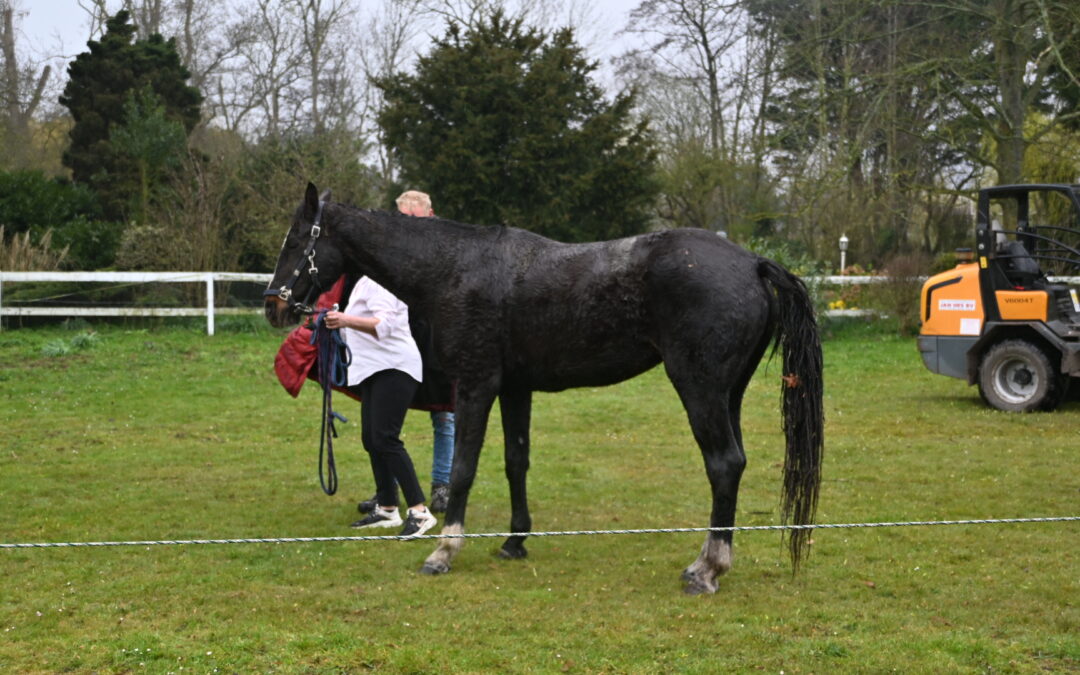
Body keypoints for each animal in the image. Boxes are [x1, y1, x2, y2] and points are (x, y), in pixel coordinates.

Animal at [264, 183, 823, 595]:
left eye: (296, 239)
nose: (274, 304)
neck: (454, 267)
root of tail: (752, 262)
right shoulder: (515, 388)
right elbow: (517, 460)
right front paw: (515, 541)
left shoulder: (475, 385)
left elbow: (464, 468)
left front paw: (444, 550)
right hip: (729, 394)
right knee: (735, 462)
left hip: (700, 388)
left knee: (723, 463)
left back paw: (706, 570)